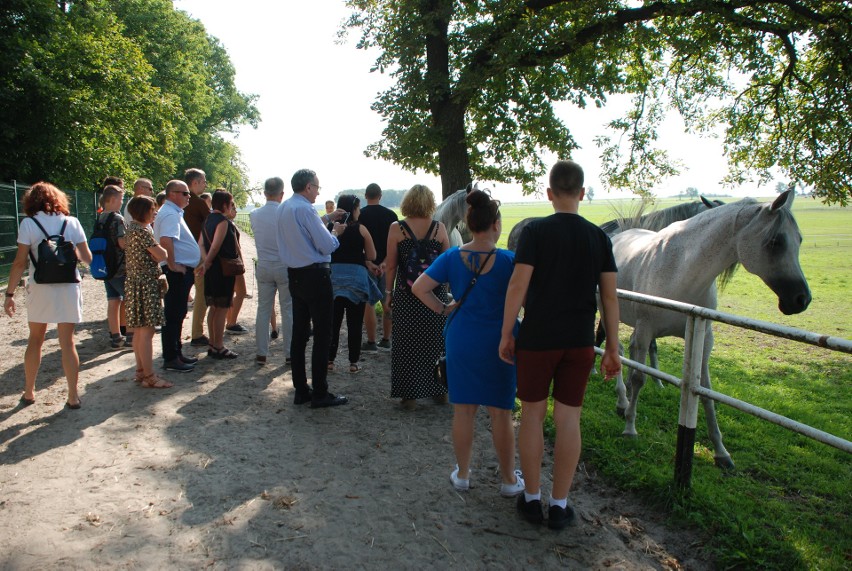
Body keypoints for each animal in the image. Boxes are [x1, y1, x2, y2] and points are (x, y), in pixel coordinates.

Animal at [612, 192, 812, 470]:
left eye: (799, 239)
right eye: (776, 241)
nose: (801, 299)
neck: (680, 271)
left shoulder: (703, 338)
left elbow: (706, 393)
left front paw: (721, 452)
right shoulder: (645, 330)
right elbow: (640, 377)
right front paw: (630, 427)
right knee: (618, 353)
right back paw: (623, 400)